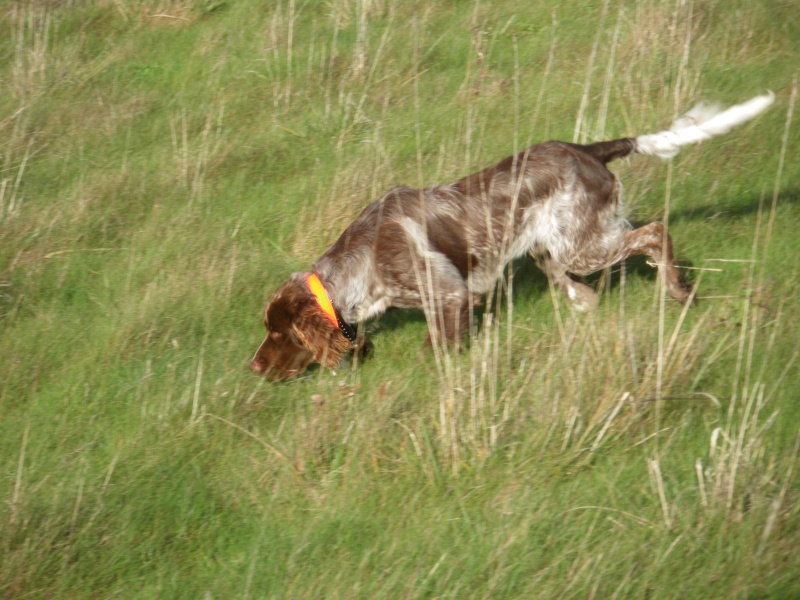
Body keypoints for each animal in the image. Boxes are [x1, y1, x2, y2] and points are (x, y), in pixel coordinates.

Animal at [252, 91, 776, 378]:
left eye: (278, 333)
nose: (253, 367)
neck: (363, 262)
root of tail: (587, 149)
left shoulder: (450, 297)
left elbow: (435, 350)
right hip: (552, 243)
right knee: (570, 279)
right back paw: (586, 302)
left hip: (583, 245)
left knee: (653, 233)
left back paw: (678, 289)